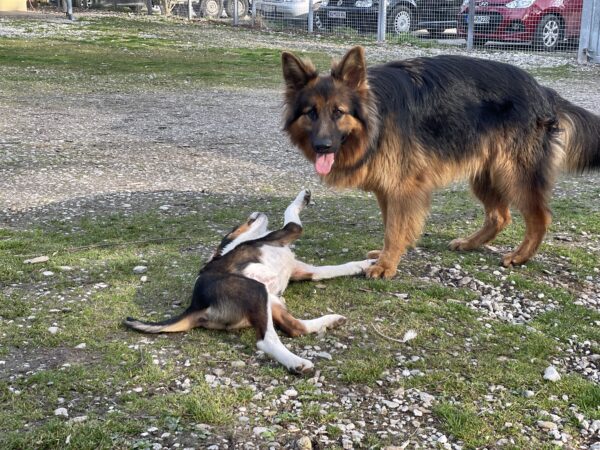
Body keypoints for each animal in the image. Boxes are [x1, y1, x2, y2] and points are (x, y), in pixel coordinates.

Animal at [123, 190, 372, 374]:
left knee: (295, 328)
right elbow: (292, 214)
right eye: (237, 225)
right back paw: (296, 362)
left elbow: (333, 269)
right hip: (256, 290)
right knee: (266, 340)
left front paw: (366, 264)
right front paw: (303, 197)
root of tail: (195, 306)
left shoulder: (301, 270)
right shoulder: (287, 231)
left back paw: (330, 321)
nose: (256, 211)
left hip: (271, 301)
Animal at [281, 46, 600, 279]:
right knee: (500, 216)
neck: (376, 117)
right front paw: (384, 256)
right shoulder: (387, 188)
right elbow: (390, 226)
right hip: (485, 174)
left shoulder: (403, 188)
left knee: (539, 217)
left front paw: (386, 265)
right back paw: (470, 243)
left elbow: (395, 229)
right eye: (311, 113)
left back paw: (520, 256)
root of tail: (543, 90)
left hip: (513, 174)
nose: (322, 146)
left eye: (338, 112)